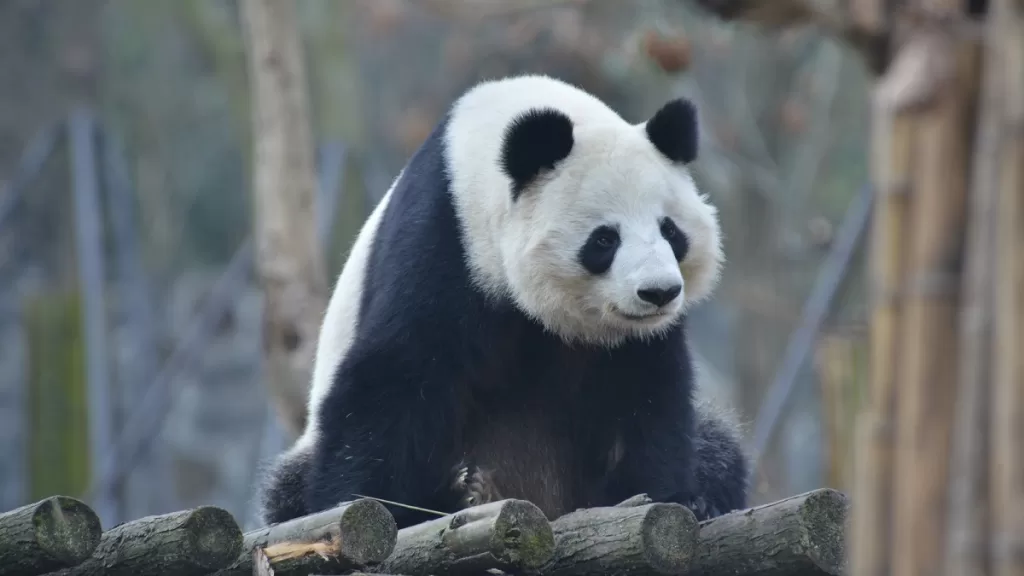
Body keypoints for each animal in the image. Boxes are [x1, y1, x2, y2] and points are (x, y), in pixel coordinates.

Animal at [258, 74, 749, 529]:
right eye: (605, 239)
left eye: (671, 231)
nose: (658, 292)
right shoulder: (444, 241)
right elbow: (396, 375)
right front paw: (376, 505)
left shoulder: (639, 339)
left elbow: (646, 394)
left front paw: (672, 497)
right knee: (288, 486)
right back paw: (454, 493)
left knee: (719, 446)